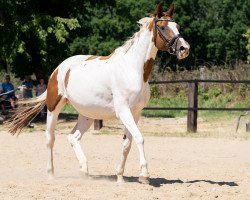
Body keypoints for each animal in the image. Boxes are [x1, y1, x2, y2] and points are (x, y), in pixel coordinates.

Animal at [6, 3, 189, 184]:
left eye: (178, 26)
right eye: (163, 27)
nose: (184, 48)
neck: (132, 69)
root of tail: (59, 68)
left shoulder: (135, 113)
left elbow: (127, 144)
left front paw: (120, 176)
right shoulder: (123, 111)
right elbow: (139, 137)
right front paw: (144, 175)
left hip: (87, 114)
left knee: (73, 137)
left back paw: (84, 171)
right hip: (53, 108)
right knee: (50, 139)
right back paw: (51, 174)